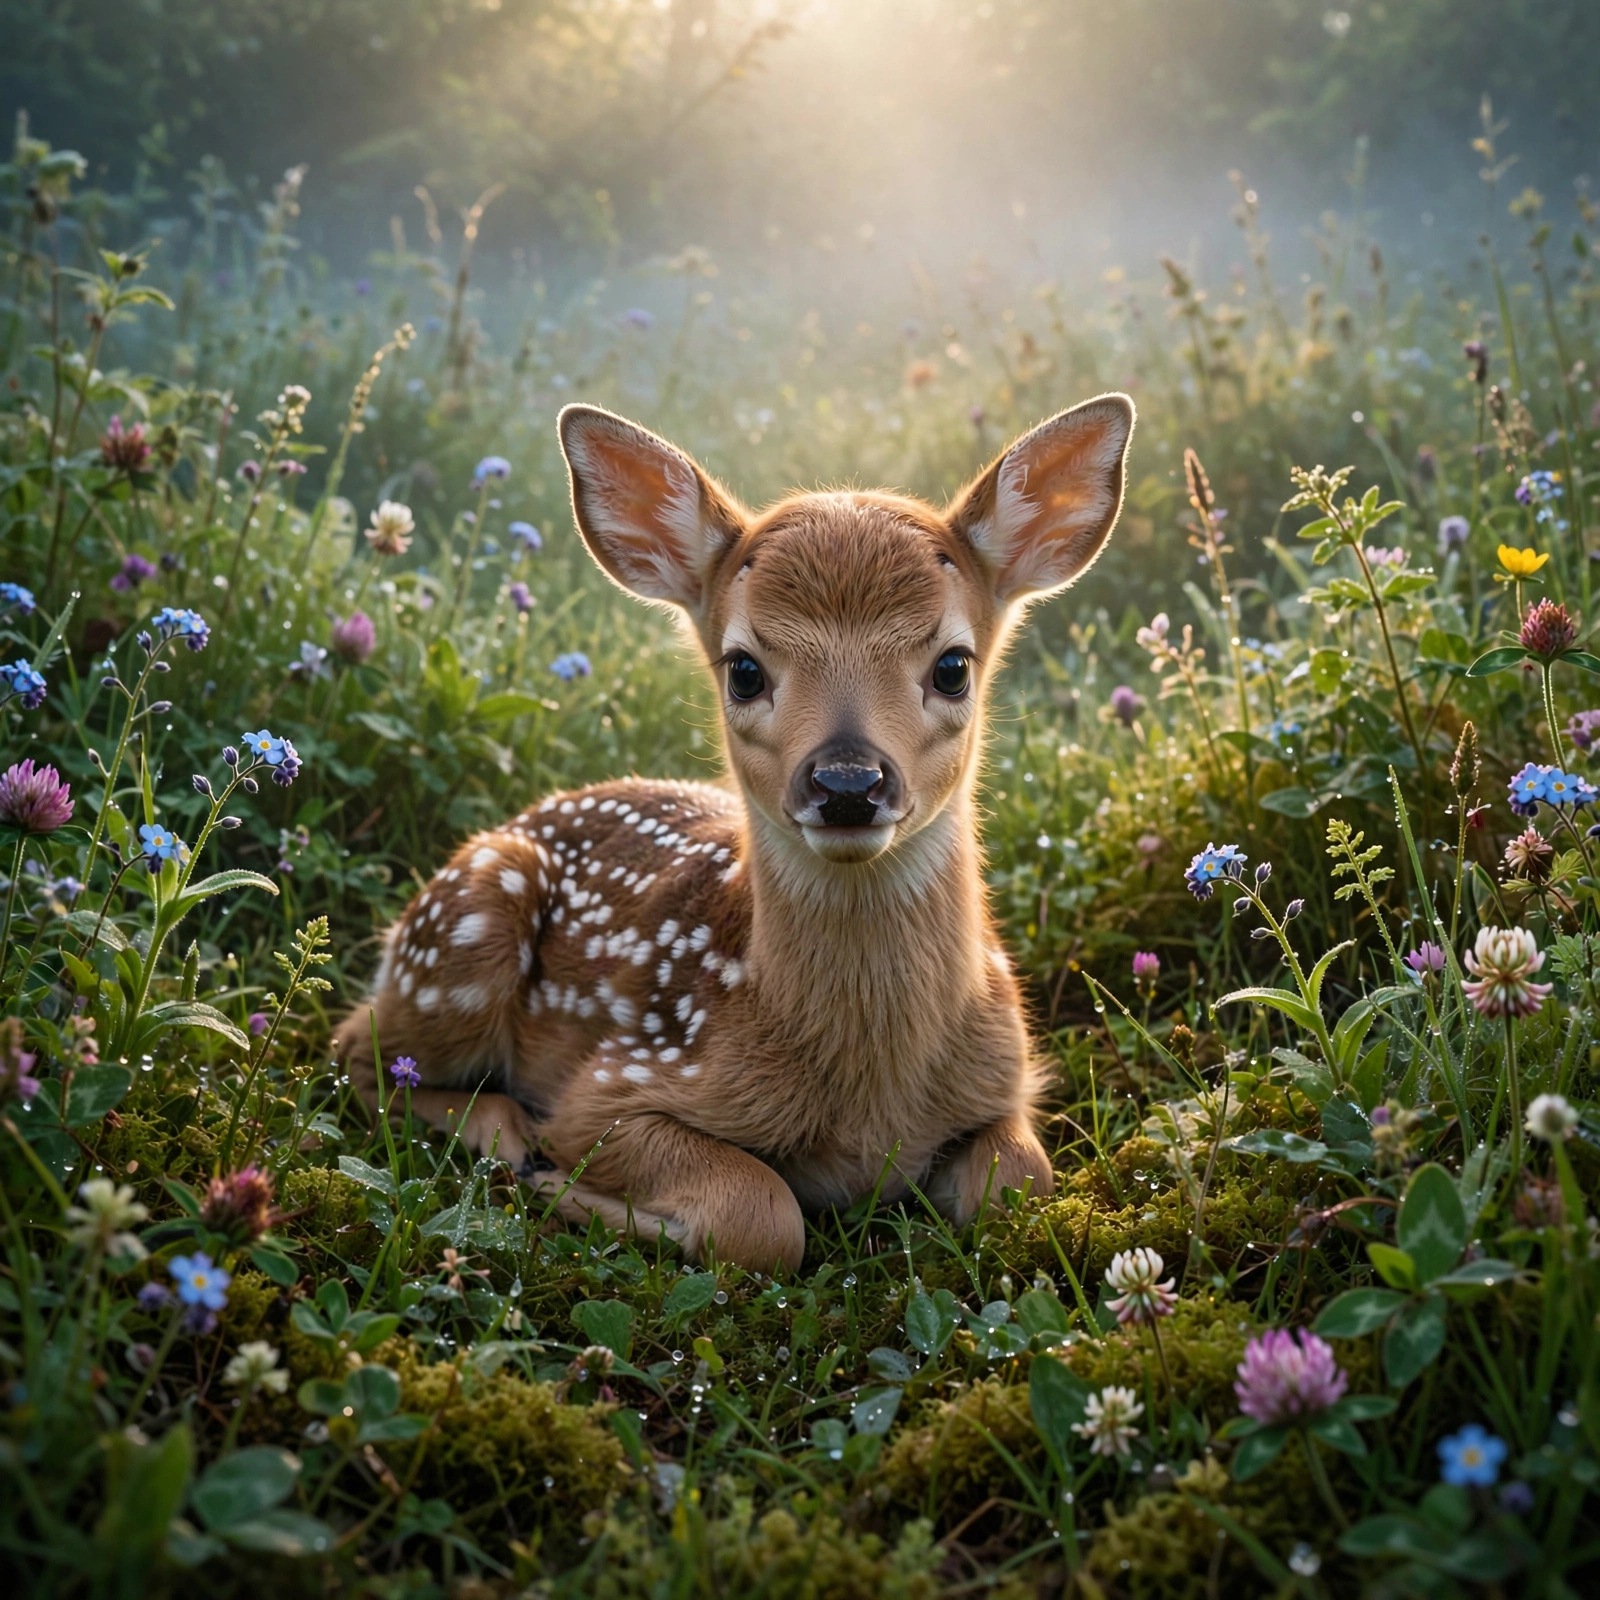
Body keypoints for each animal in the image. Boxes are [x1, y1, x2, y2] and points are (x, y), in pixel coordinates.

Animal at [333, 393, 1136, 1275]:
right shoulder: (614, 1082)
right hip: (464, 934)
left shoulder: (1009, 1074)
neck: (872, 1103)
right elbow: (765, 1214)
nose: (847, 784)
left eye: (953, 666)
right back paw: (502, 1134)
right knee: (357, 1049)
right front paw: (568, 1187)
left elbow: (1018, 1182)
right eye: (744, 669)